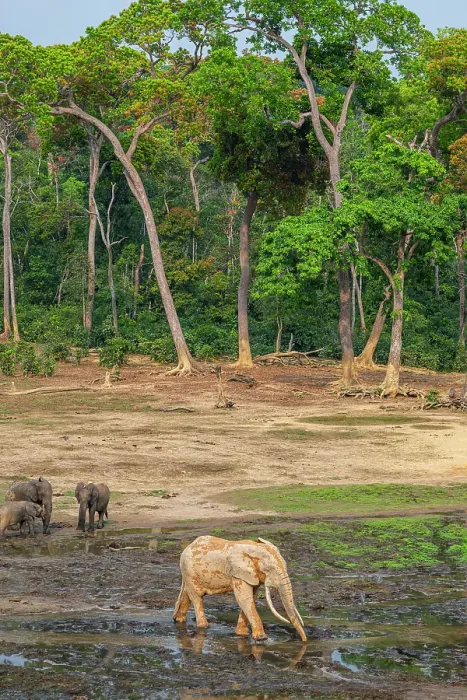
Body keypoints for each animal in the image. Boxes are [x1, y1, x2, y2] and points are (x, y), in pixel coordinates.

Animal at [173, 535, 307, 642]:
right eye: (269, 569)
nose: (304, 641)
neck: (254, 548)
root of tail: (189, 545)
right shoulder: (238, 573)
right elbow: (244, 599)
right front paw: (261, 639)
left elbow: (251, 598)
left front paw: (241, 634)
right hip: (188, 569)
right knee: (196, 596)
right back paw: (204, 627)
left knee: (188, 594)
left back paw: (179, 620)